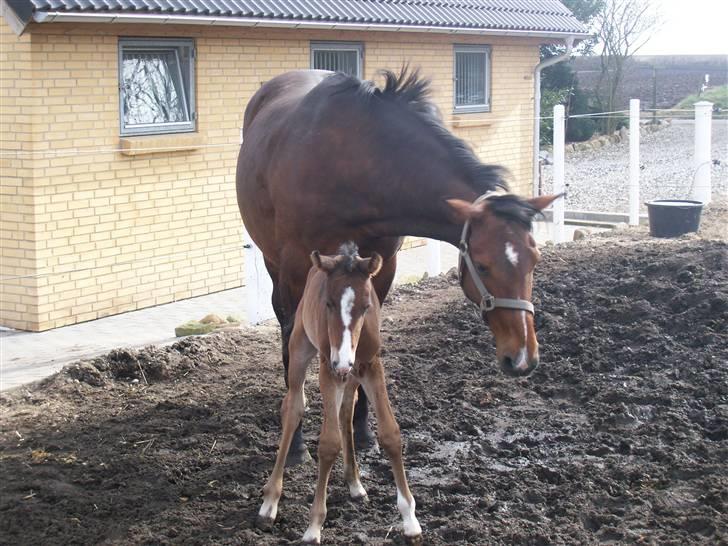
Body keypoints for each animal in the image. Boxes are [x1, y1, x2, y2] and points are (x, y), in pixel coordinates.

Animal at [236, 66, 560, 462]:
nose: (523, 357)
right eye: (482, 265)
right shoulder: (296, 270)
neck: (353, 164)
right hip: (276, 265)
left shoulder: (380, 270)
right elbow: (294, 340)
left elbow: (365, 339)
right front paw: (296, 442)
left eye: (535, 259)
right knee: (286, 326)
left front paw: (362, 431)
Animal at [258, 243, 424, 544]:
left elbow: (391, 434)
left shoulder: (371, 365)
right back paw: (269, 504)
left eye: (367, 306)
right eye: (328, 303)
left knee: (347, 408)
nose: (343, 360)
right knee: (293, 407)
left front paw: (410, 520)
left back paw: (355, 483)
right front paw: (313, 527)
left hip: (351, 374)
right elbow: (328, 444)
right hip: (301, 350)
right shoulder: (329, 368)